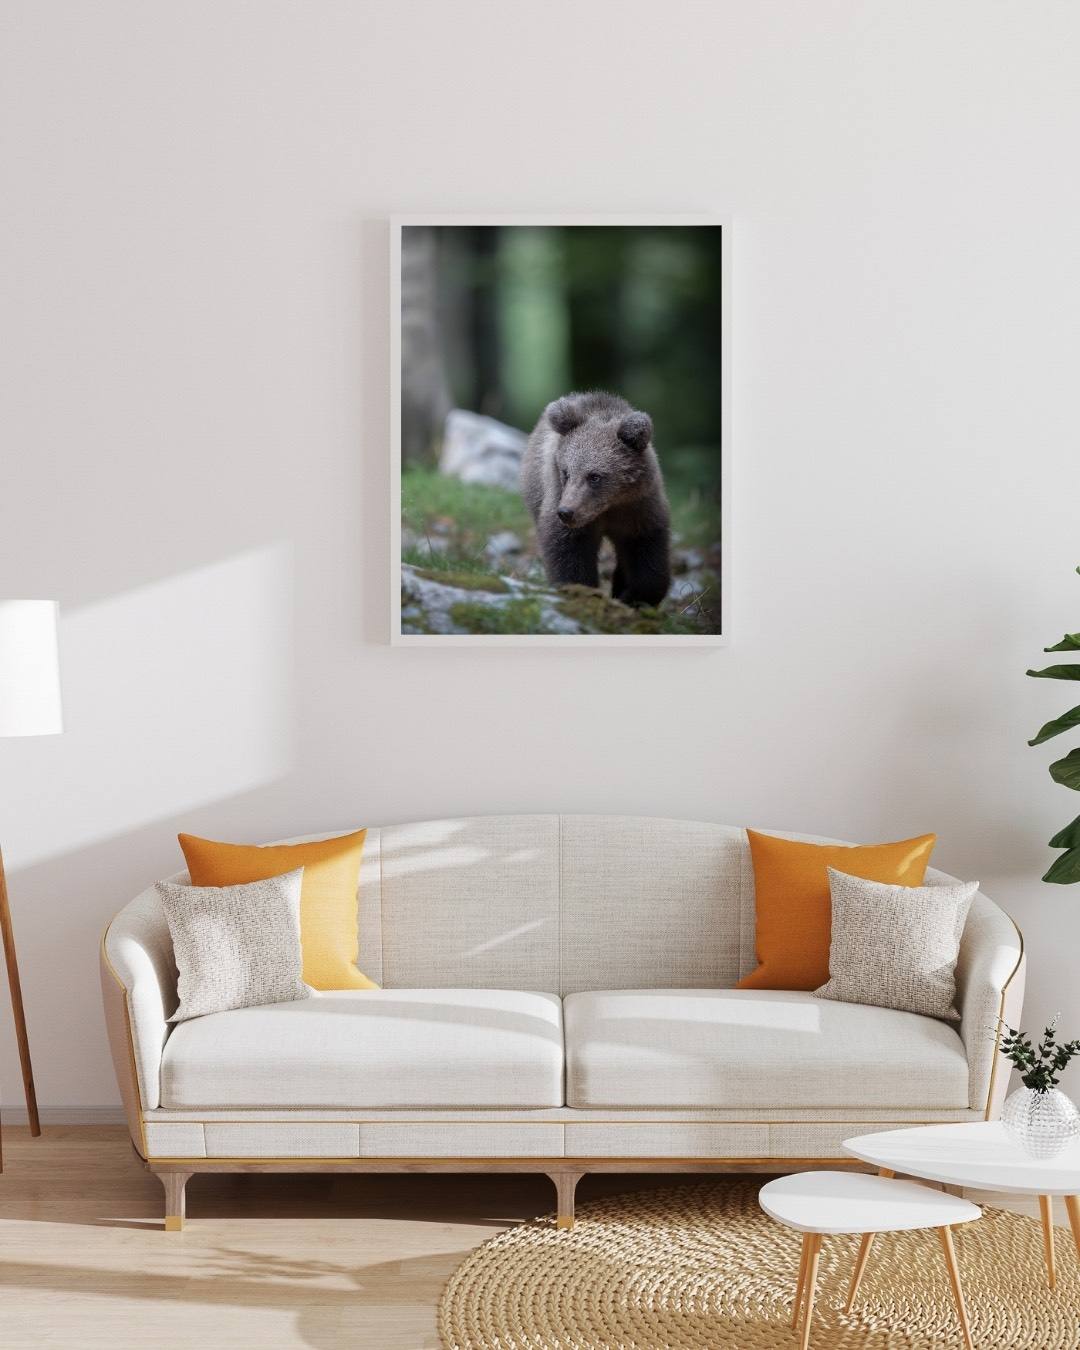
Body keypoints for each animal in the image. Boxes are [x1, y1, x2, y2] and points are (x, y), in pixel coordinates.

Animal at [521, 391, 672, 607]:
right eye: (566, 472)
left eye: (594, 476)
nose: (566, 512)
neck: (609, 506)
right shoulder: (561, 500)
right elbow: (568, 551)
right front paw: (582, 591)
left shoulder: (639, 508)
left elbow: (647, 552)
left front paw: (633, 596)